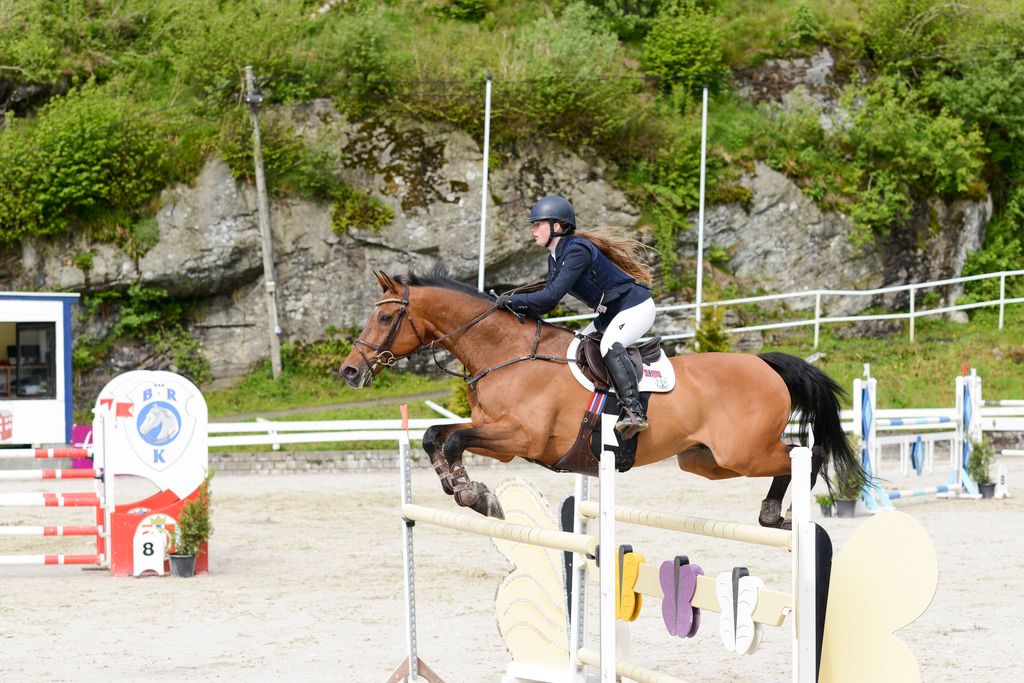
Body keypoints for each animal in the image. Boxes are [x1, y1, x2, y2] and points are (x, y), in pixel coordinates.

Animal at [340, 266, 860, 527]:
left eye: (384, 318)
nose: (349, 371)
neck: (506, 353)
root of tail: (763, 362)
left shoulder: (520, 438)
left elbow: (451, 439)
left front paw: (474, 494)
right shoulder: (497, 437)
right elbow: (435, 434)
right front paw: (459, 487)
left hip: (743, 452)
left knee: (805, 453)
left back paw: (782, 514)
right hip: (706, 461)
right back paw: (772, 514)